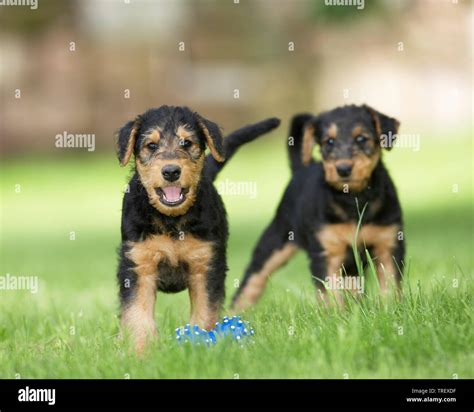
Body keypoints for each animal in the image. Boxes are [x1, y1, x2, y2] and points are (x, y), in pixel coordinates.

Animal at [231, 104, 406, 310]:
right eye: (329, 141)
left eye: (361, 138)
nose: (343, 169)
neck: (354, 199)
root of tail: (300, 170)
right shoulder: (326, 253)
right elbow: (330, 293)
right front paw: (337, 315)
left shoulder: (389, 245)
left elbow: (391, 285)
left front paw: (391, 309)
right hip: (274, 242)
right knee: (252, 280)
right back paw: (234, 312)